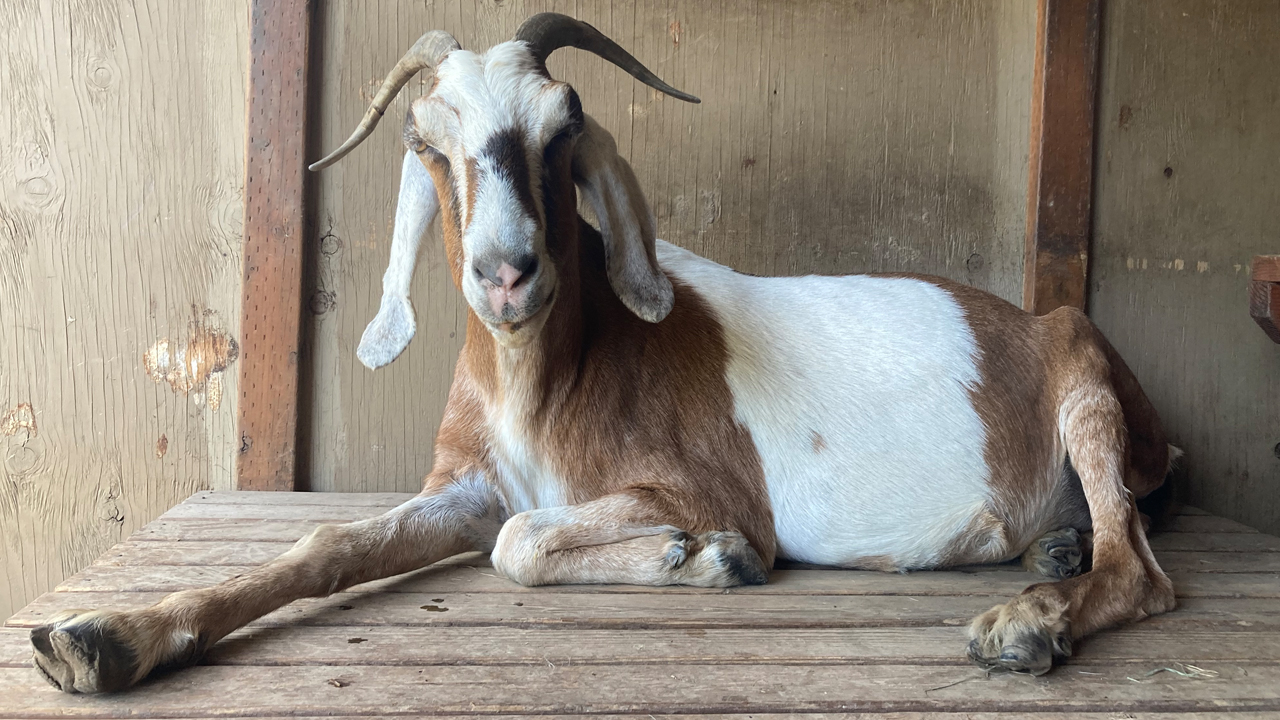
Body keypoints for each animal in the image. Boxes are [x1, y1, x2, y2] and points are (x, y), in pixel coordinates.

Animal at [30, 15, 1172, 691]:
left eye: (564, 126)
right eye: (425, 142)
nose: (507, 273)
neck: (545, 382)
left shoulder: (700, 487)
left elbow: (521, 542)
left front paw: (700, 559)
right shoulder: (468, 483)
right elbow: (330, 545)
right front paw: (106, 635)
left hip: (1080, 369)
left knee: (1144, 572)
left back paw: (1028, 620)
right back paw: (1050, 551)